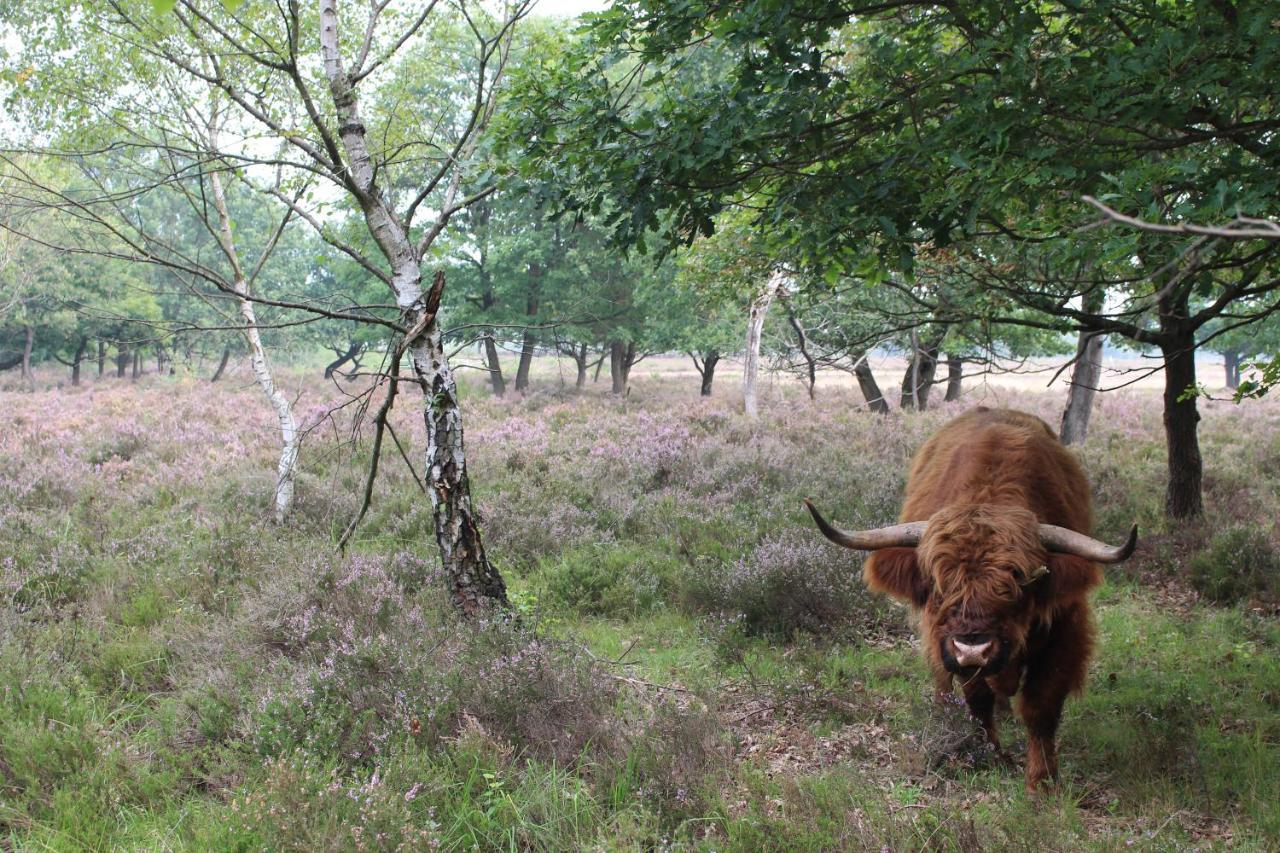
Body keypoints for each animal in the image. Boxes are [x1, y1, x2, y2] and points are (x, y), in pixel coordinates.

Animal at [803, 409, 1136, 788]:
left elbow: (1042, 705)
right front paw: (989, 755)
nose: (973, 648)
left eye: (1018, 581)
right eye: (938, 584)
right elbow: (977, 699)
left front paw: (1042, 781)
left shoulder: (1064, 627)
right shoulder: (949, 642)